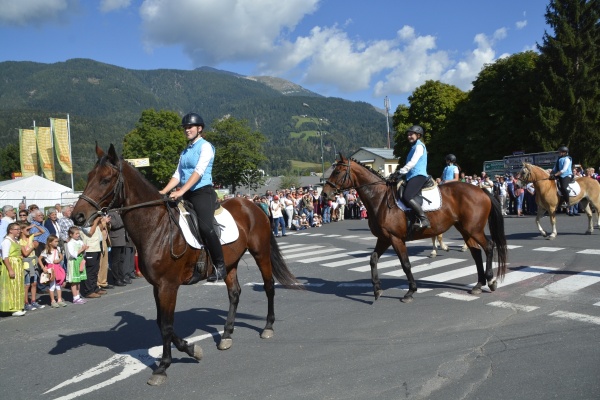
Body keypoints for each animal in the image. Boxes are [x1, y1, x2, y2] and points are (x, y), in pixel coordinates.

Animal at [72, 145, 302, 386]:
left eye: (105, 179)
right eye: (89, 176)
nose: (77, 216)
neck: (156, 226)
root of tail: (251, 204)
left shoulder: (168, 286)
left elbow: (166, 325)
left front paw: (163, 367)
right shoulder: (158, 286)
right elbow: (160, 322)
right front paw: (191, 350)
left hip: (261, 253)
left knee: (268, 287)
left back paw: (268, 327)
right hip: (230, 263)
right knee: (234, 294)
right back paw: (226, 335)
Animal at [324, 156, 506, 304]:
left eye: (338, 171)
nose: (325, 194)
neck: (380, 199)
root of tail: (481, 190)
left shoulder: (396, 238)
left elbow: (405, 264)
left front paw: (410, 292)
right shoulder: (384, 238)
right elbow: (373, 259)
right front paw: (377, 289)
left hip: (474, 229)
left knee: (489, 246)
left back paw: (490, 281)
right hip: (465, 229)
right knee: (476, 252)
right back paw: (478, 284)